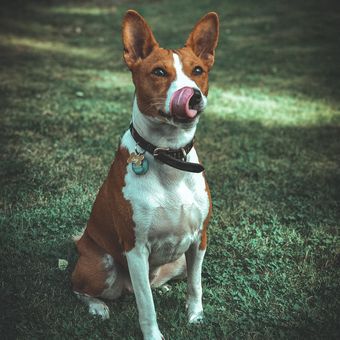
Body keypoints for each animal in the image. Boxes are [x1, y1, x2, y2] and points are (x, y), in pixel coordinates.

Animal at [72, 9, 219, 340]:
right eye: (159, 72)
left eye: (198, 70)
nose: (193, 96)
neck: (170, 157)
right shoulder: (135, 249)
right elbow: (146, 305)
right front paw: (153, 336)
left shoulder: (199, 240)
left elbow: (196, 285)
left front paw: (196, 317)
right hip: (101, 264)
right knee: (77, 287)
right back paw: (97, 306)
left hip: (177, 262)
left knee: (159, 283)